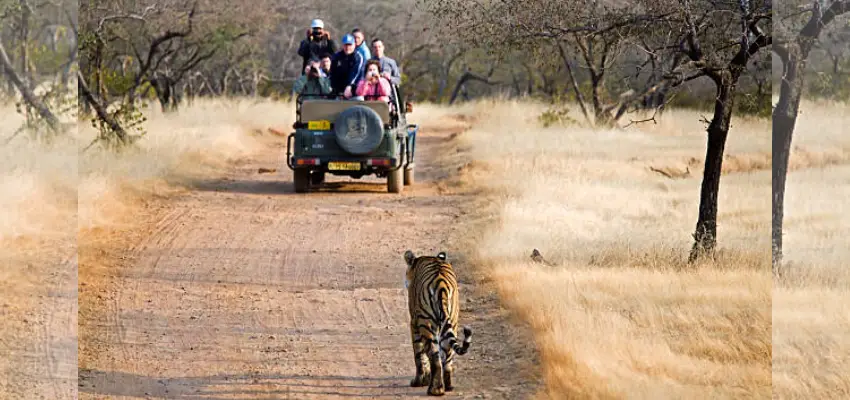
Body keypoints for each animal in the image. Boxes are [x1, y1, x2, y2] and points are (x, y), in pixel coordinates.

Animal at [402, 248, 470, 396]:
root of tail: (441, 284)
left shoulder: (414, 323)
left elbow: (419, 355)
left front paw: (419, 381)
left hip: (425, 323)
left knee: (435, 358)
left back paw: (435, 390)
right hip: (452, 322)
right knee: (447, 357)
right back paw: (447, 386)